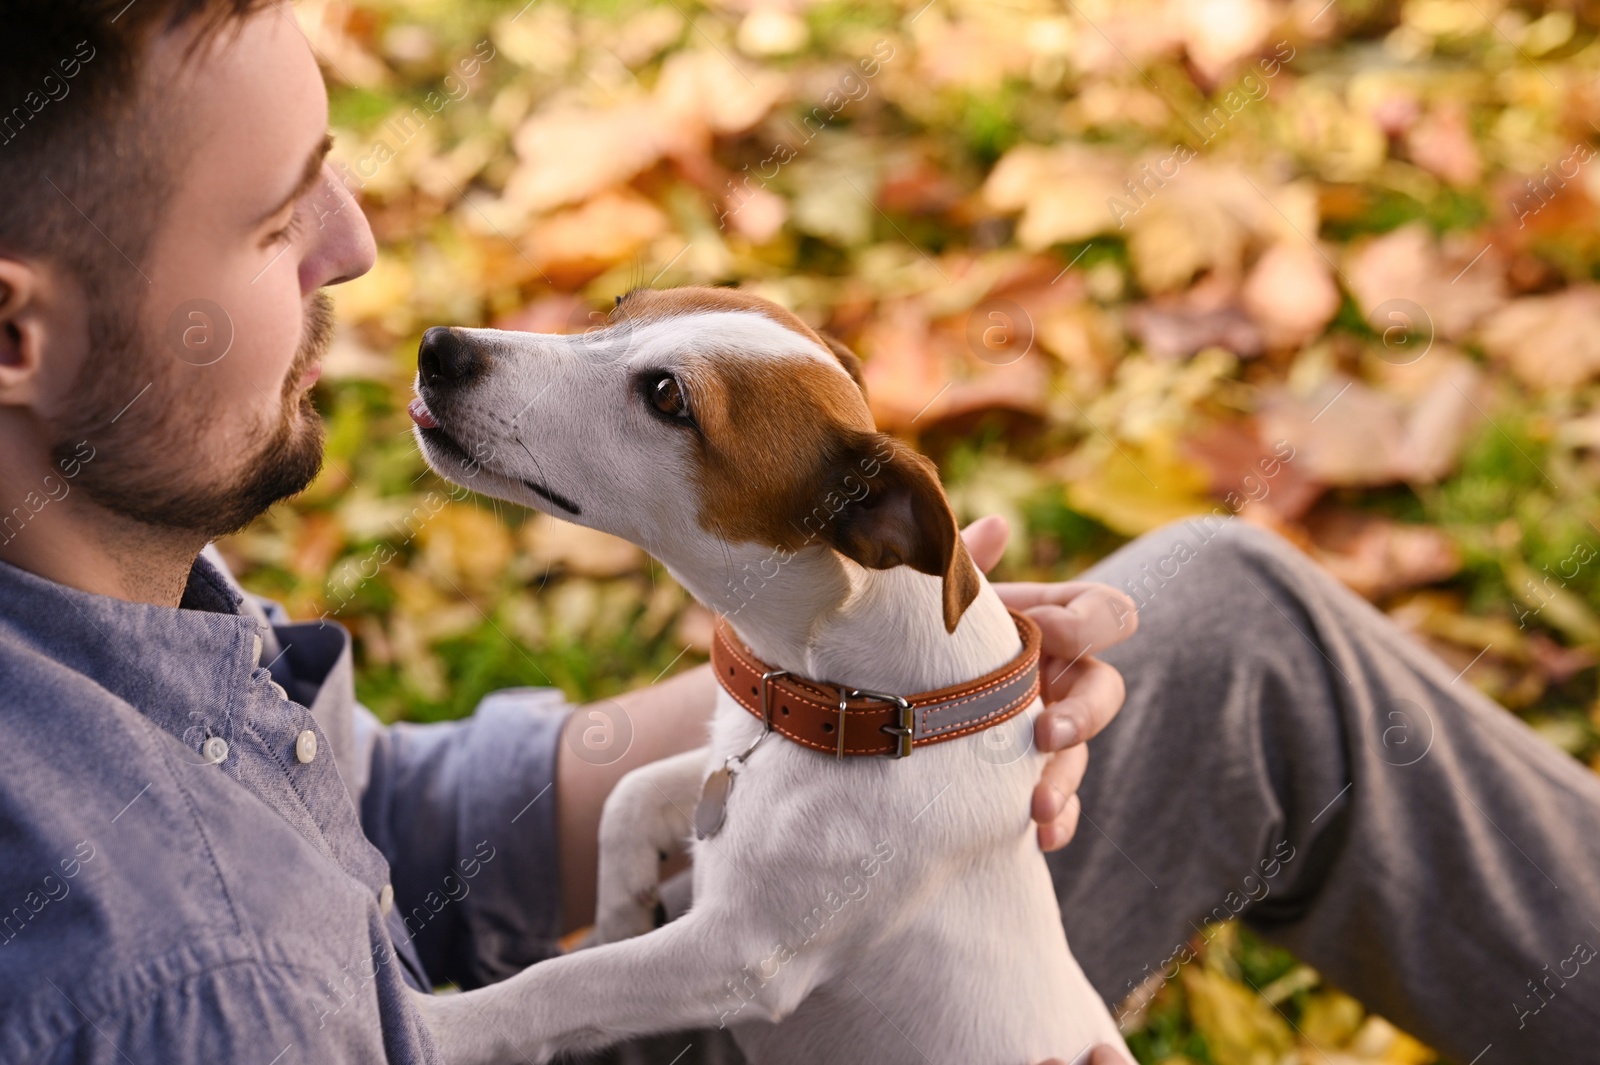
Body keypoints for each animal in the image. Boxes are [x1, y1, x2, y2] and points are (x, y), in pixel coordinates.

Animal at [403, 284, 1126, 1061]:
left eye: (668, 396)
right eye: (622, 304)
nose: (438, 348)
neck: (857, 704)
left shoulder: (738, 954)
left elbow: (560, 983)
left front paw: (439, 1024)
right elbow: (629, 795)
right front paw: (620, 910)